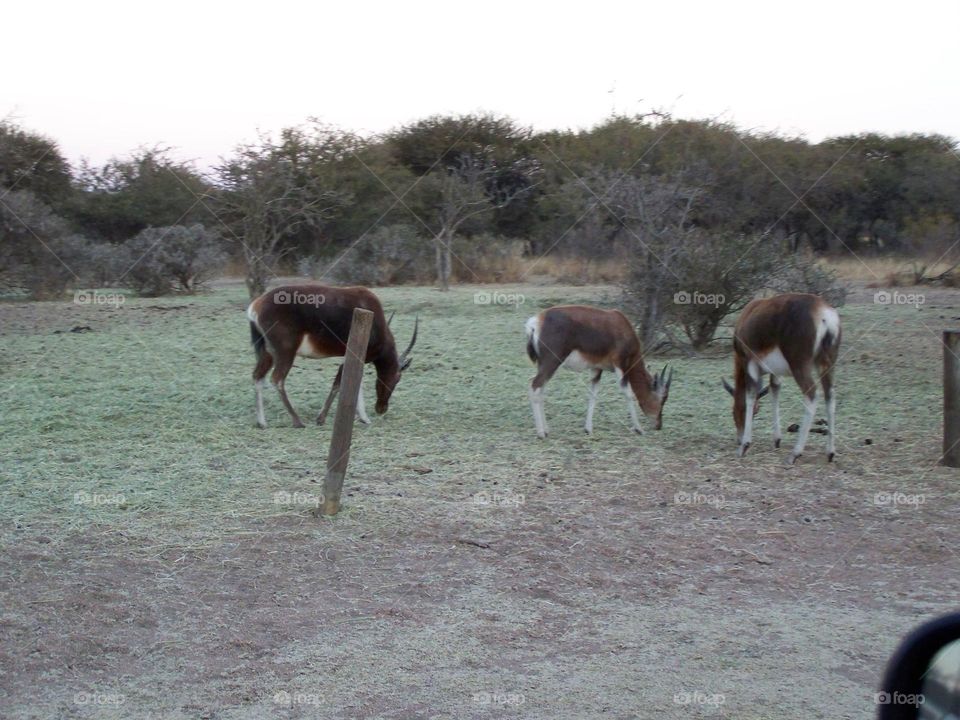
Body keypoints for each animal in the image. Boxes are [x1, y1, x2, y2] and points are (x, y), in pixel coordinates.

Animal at [244, 282, 416, 428]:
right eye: (397, 378)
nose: (381, 408)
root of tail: (257, 305)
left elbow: (356, 382)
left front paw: (364, 419)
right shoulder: (351, 356)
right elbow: (338, 383)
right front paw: (321, 419)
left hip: (267, 352)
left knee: (257, 375)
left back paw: (262, 423)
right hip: (286, 352)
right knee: (277, 379)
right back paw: (298, 421)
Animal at [524, 306, 676, 438]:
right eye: (663, 399)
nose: (658, 425)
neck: (620, 323)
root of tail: (536, 322)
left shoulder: (597, 369)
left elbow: (593, 394)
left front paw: (588, 429)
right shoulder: (620, 365)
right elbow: (627, 393)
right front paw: (639, 429)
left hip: (544, 364)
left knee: (540, 390)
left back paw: (546, 430)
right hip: (552, 362)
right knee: (534, 385)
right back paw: (541, 433)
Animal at [720, 292, 840, 462]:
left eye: (735, 410)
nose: (739, 439)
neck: (748, 313)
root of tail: (824, 315)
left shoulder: (750, 364)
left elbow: (750, 396)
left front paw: (745, 446)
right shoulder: (775, 372)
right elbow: (775, 391)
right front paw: (777, 440)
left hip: (799, 366)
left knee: (811, 394)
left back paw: (795, 453)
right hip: (827, 365)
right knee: (830, 395)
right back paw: (830, 453)